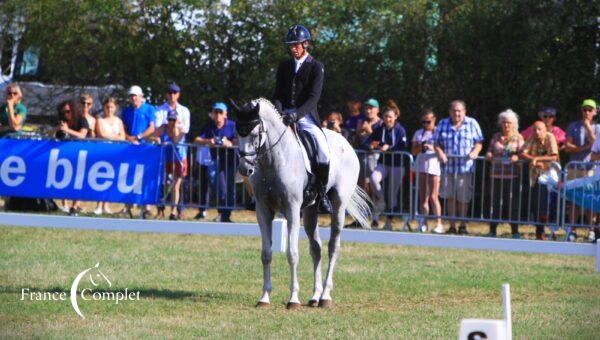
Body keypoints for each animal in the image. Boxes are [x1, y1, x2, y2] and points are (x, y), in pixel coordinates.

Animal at [233, 98, 370, 308]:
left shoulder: (292, 209)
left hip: (338, 206)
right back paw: (315, 296)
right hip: (311, 211)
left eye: (255, 134)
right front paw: (264, 297)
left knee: (333, 247)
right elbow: (266, 254)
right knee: (316, 249)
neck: (274, 161)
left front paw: (293, 299)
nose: (244, 169)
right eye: (237, 133)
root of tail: (345, 143)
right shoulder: (263, 211)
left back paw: (325, 296)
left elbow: (292, 254)